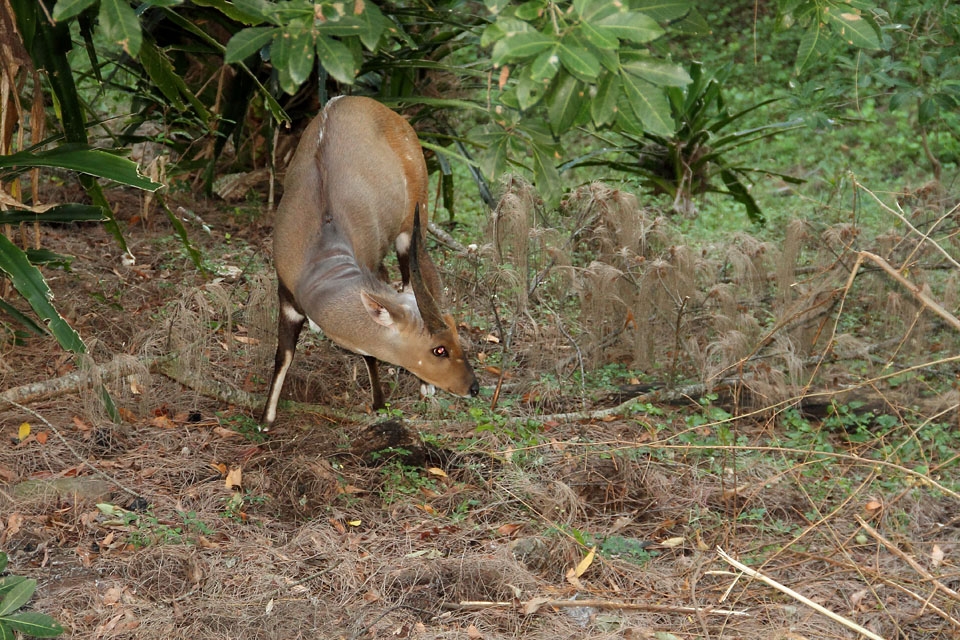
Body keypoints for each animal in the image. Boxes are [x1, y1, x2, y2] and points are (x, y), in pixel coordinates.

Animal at [260, 95, 478, 428]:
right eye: (439, 349)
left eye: (455, 337)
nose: (473, 387)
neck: (321, 256)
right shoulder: (285, 294)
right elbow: (283, 353)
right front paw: (266, 418)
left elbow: (369, 353)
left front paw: (379, 404)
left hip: (412, 221)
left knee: (409, 276)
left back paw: (425, 388)